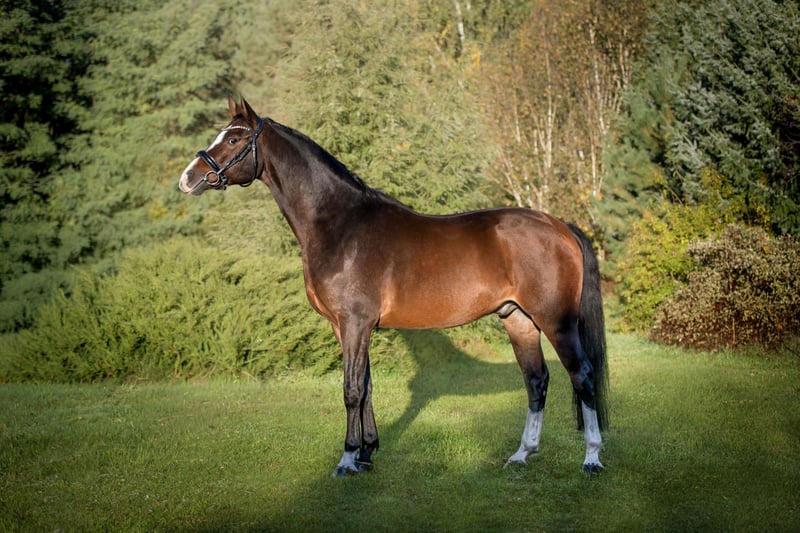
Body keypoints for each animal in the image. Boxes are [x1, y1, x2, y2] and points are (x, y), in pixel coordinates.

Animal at [178, 97, 608, 477]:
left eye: (234, 139)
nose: (188, 179)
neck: (340, 225)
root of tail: (559, 226)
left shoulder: (355, 322)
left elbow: (351, 389)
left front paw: (347, 460)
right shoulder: (347, 326)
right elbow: (366, 386)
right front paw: (367, 454)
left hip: (556, 320)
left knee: (583, 375)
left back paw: (591, 458)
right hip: (518, 319)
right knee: (536, 381)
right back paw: (521, 455)